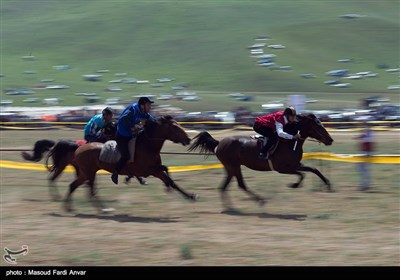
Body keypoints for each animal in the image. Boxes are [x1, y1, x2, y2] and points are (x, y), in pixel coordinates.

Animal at [44, 115, 198, 211]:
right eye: (175, 127)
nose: (188, 139)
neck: (146, 145)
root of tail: (79, 148)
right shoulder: (148, 170)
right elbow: (165, 172)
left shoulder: (154, 170)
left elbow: (170, 178)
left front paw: (190, 196)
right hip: (86, 172)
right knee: (88, 189)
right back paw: (101, 209)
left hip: (85, 172)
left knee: (74, 186)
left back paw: (71, 207)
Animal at [189, 113, 332, 208]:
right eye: (318, 125)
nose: (330, 140)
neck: (289, 142)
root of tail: (219, 143)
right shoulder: (283, 169)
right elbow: (302, 174)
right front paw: (294, 185)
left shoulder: (296, 165)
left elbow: (314, 169)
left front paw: (328, 185)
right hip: (233, 165)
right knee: (240, 184)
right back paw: (260, 200)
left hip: (231, 167)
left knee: (225, 186)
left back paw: (230, 207)